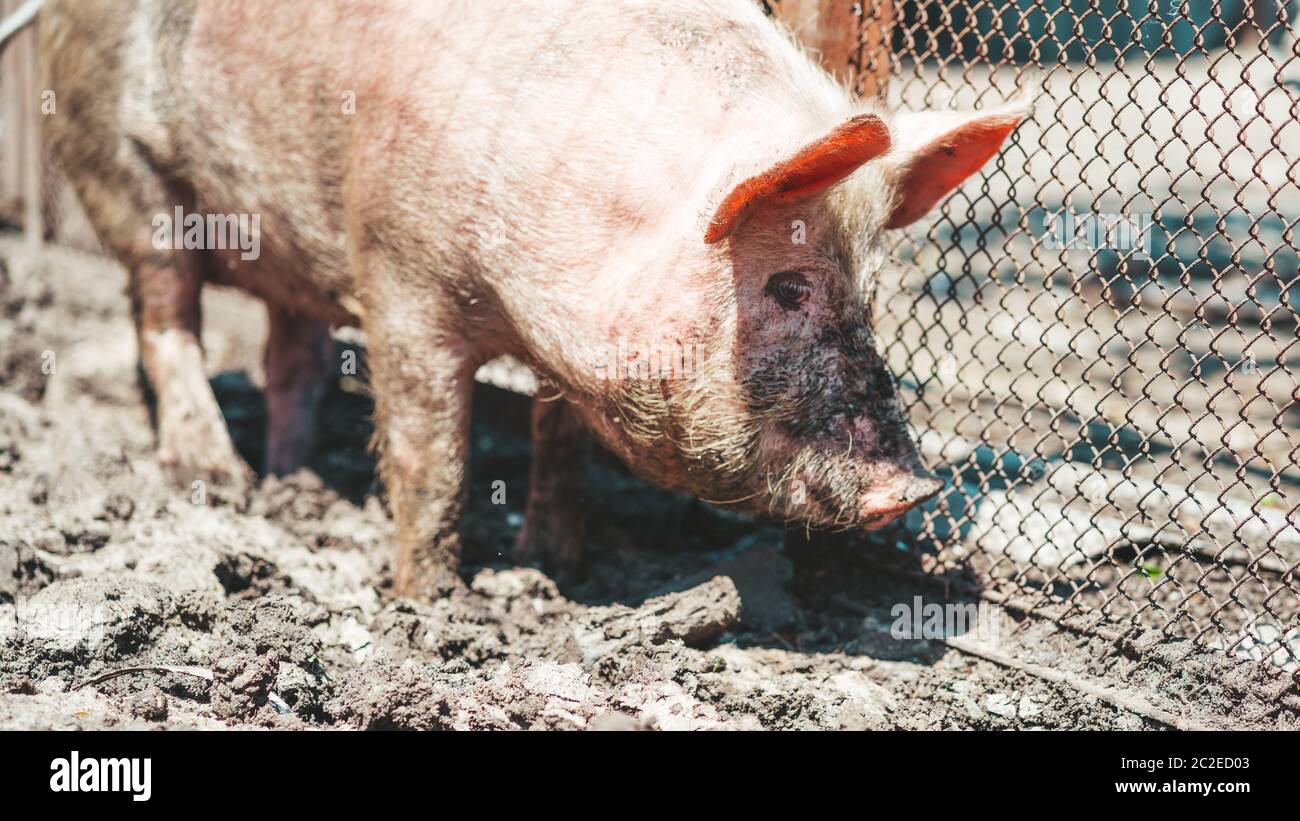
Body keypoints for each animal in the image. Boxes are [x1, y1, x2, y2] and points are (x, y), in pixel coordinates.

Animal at [30, 0, 1024, 597]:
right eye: (786, 284)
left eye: (870, 292)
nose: (915, 485)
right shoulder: (398, 270)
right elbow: (433, 458)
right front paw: (428, 602)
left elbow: (559, 443)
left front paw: (556, 565)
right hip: (127, 177)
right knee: (167, 321)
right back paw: (216, 477)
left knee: (292, 355)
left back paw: (288, 479)